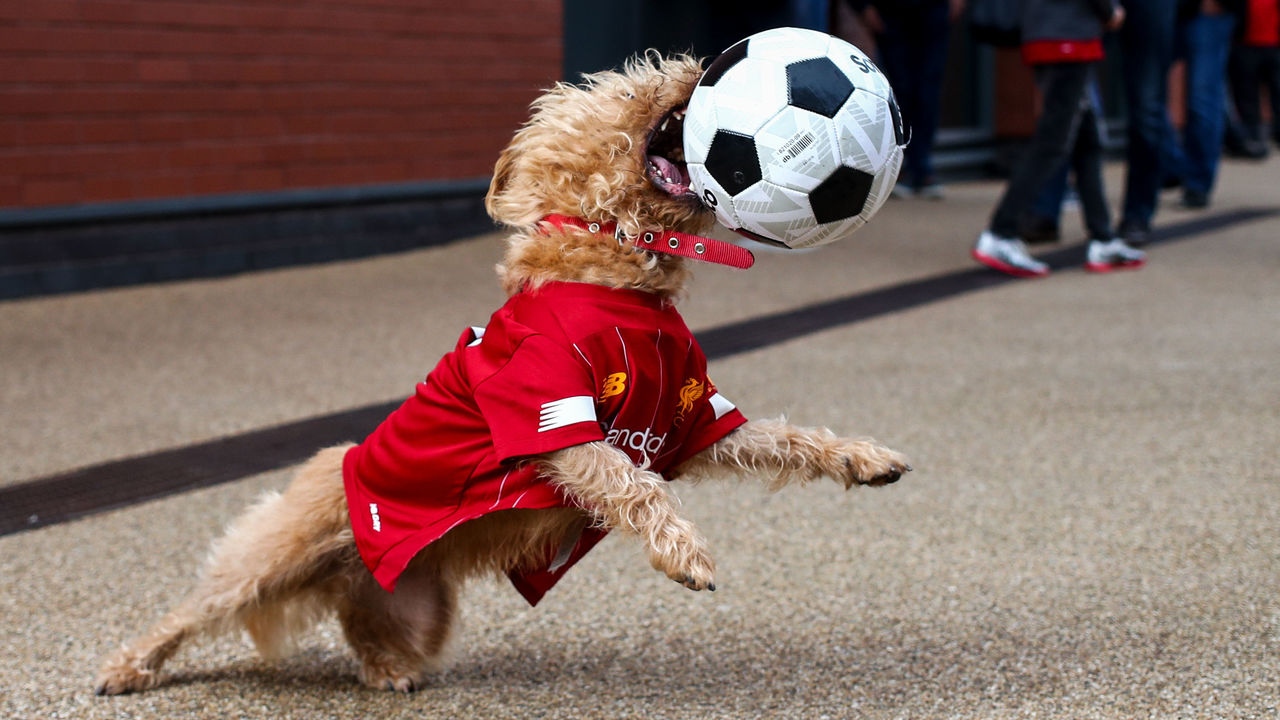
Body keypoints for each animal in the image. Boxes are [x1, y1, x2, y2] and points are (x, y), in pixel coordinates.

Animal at [92, 53, 911, 691]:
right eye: (630, 83)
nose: (699, 67)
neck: (614, 271)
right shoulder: (555, 422)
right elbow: (632, 484)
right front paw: (685, 552)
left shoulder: (691, 419)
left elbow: (785, 437)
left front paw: (862, 457)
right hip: (274, 557)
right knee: (194, 608)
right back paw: (128, 666)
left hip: (420, 606)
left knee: (359, 621)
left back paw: (385, 666)